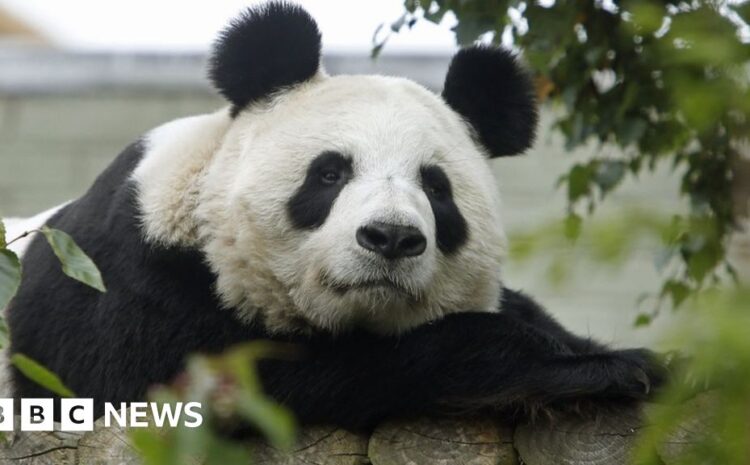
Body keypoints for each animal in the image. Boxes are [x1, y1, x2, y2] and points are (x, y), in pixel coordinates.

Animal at [4, 1, 664, 430]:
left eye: (437, 188)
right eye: (329, 174)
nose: (391, 237)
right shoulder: (132, 287)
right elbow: (259, 381)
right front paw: (595, 370)